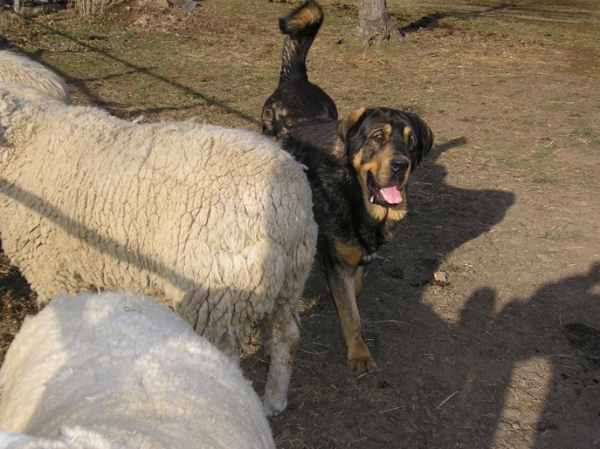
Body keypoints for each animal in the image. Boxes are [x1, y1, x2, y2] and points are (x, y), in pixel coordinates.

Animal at [0, 85, 318, 416]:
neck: (25, 138)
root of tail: (287, 207)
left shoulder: (53, 272)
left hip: (215, 296)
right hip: (290, 282)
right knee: (286, 337)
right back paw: (274, 402)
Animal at [262, 0, 432, 372]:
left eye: (411, 142)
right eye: (378, 137)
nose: (401, 165)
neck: (355, 195)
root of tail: (294, 79)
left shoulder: (358, 256)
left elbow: (355, 289)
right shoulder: (338, 260)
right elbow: (352, 316)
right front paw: (360, 354)